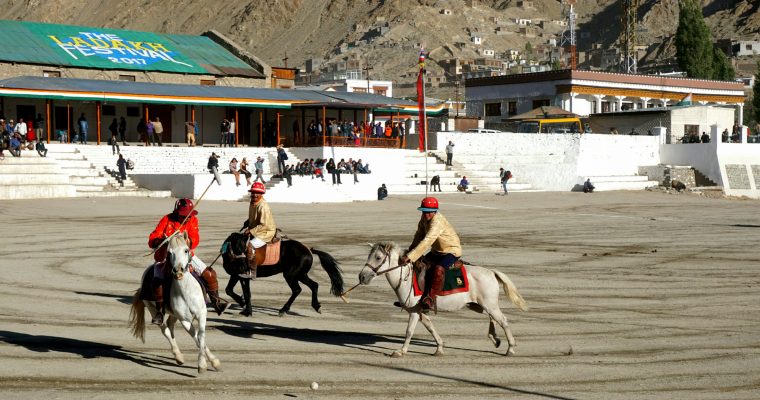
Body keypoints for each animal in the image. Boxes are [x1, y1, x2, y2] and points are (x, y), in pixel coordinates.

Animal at [128, 233, 221, 374]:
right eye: (169, 252)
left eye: (186, 250)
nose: (178, 270)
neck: (186, 290)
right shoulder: (185, 320)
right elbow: (196, 337)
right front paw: (203, 364)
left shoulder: (201, 314)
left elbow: (201, 336)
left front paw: (212, 362)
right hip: (152, 308)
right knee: (165, 329)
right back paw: (178, 356)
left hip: (173, 314)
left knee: (170, 325)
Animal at [358, 242, 524, 358]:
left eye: (378, 257)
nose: (362, 276)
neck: (406, 276)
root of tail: (491, 272)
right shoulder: (420, 310)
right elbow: (430, 327)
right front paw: (439, 348)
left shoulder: (414, 311)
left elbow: (409, 331)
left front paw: (401, 351)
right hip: (478, 305)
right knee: (493, 318)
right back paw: (495, 338)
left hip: (489, 305)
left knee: (503, 320)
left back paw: (510, 348)